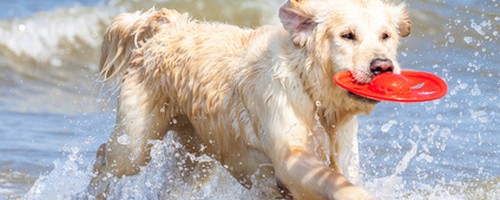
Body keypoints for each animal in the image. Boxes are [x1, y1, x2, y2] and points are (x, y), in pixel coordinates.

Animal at [89, 0, 410, 198]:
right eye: (347, 35)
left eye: (385, 36)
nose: (382, 66)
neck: (312, 90)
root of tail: (168, 26)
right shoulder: (289, 157)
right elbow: (335, 182)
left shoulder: (343, 150)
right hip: (135, 143)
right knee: (106, 156)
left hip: (196, 155)